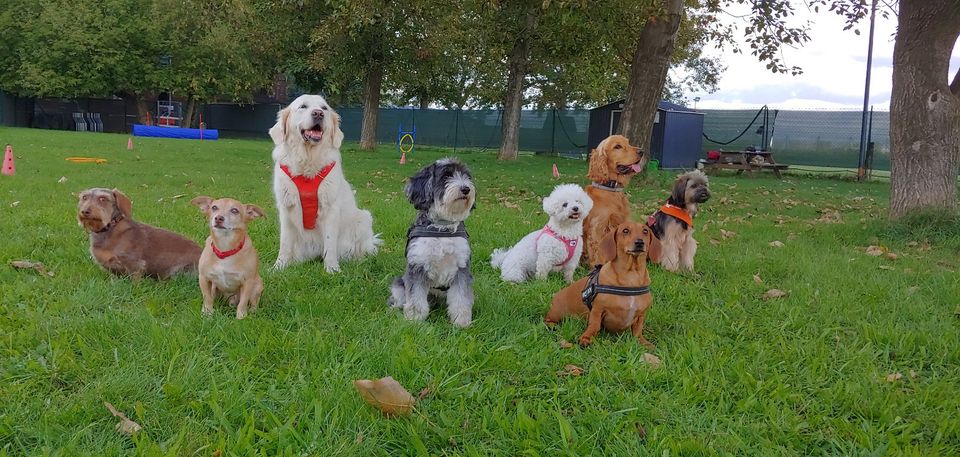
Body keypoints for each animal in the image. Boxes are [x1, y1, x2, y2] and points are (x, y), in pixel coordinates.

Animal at [268, 93, 380, 270]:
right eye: (303, 106)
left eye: (324, 108)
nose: (318, 114)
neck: (308, 161)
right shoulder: (286, 208)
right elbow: (284, 243)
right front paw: (279, 267)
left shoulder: (330, 208)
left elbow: (330, 243)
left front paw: (332, 269)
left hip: (363, 217)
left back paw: (358, 260)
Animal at [388, 159, 478, 326]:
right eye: (446, 176)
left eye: (467, 176)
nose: (466, 189)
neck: (442, 229)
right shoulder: (417, 267)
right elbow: (415, 298)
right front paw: (415, 319)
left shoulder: (462, 269)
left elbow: (461, 298)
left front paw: (461, 321)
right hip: (399, 284)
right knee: (398, 299)